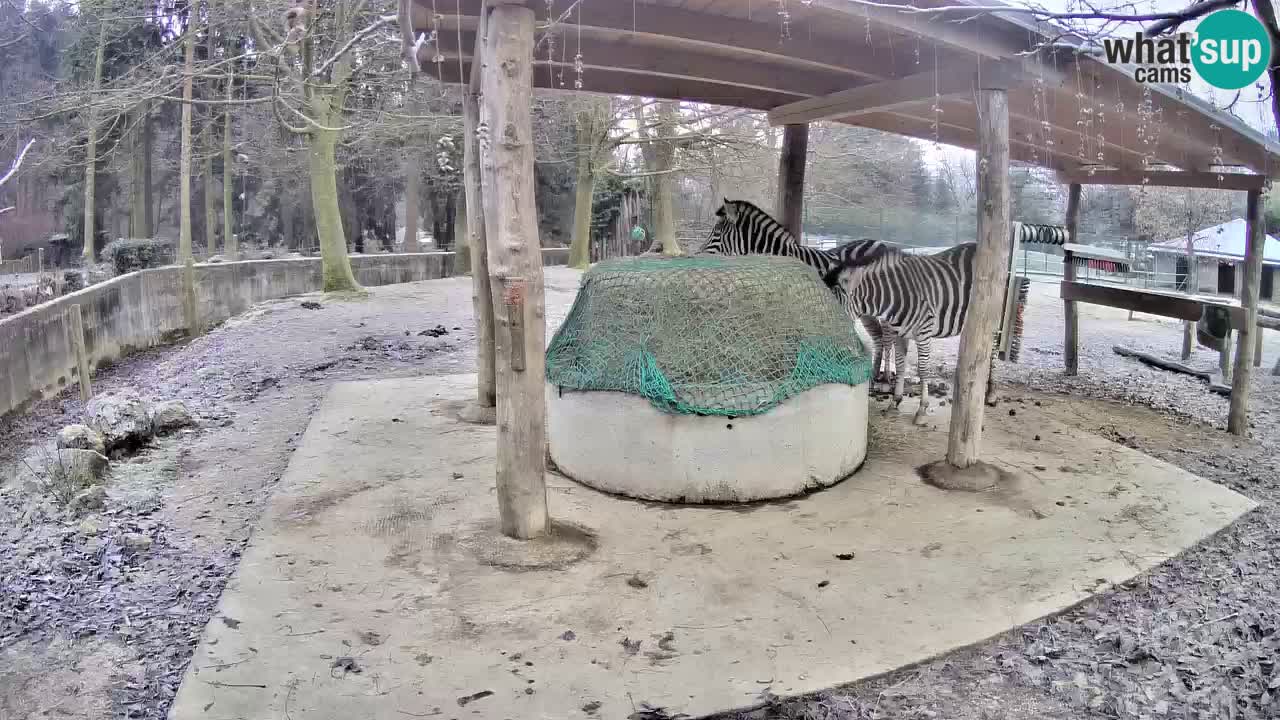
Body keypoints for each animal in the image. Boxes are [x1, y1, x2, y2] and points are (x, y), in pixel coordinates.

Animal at [819, 240, 998, 422]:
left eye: (830, 312)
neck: (894, 297)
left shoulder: (924, 332)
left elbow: (923, 369)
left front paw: (922, 410)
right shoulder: (899, 333)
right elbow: (900, 365)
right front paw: (895, 402)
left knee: (994, 354)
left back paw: (991, 394)